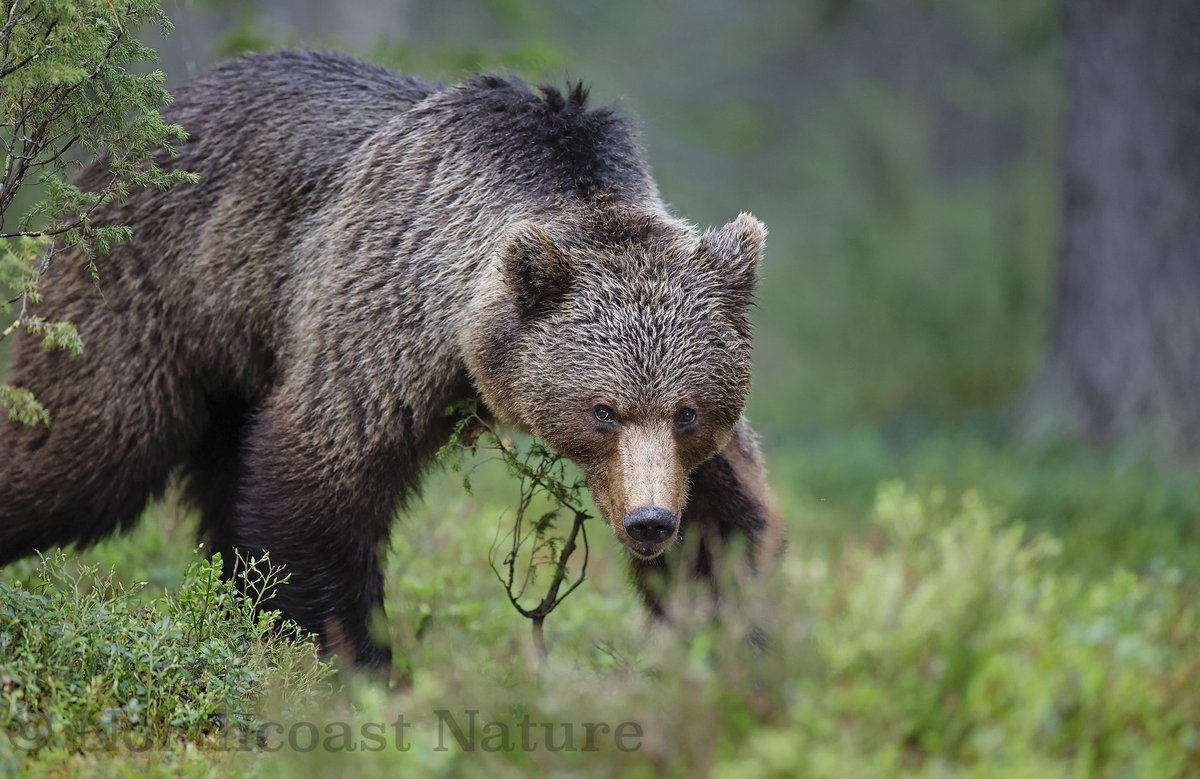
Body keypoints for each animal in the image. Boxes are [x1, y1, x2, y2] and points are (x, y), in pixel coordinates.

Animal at [0, 51, 783, 668]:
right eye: (603, 410)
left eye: (687, 412)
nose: (649, 522)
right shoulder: (379, 316)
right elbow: (318, 482)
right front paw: (357, 658)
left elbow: (724, 526)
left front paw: (731, 644)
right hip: (151, 287)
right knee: (85, 448)